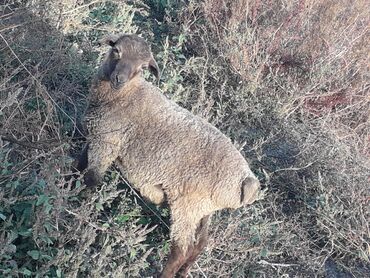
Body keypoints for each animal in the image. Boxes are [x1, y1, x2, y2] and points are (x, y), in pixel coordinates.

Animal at [81, 33, 260, 276]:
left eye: (143, 67)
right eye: (116, 51)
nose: (119, 79)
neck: (123, 95)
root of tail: (246, 179)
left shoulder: (107, 143)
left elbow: (91, 179)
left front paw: (80, 209)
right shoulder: (94, 134)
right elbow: (79, 165)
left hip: (188, 204)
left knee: (181, 250)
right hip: (204, 209)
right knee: (200, 245)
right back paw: (184, 273)